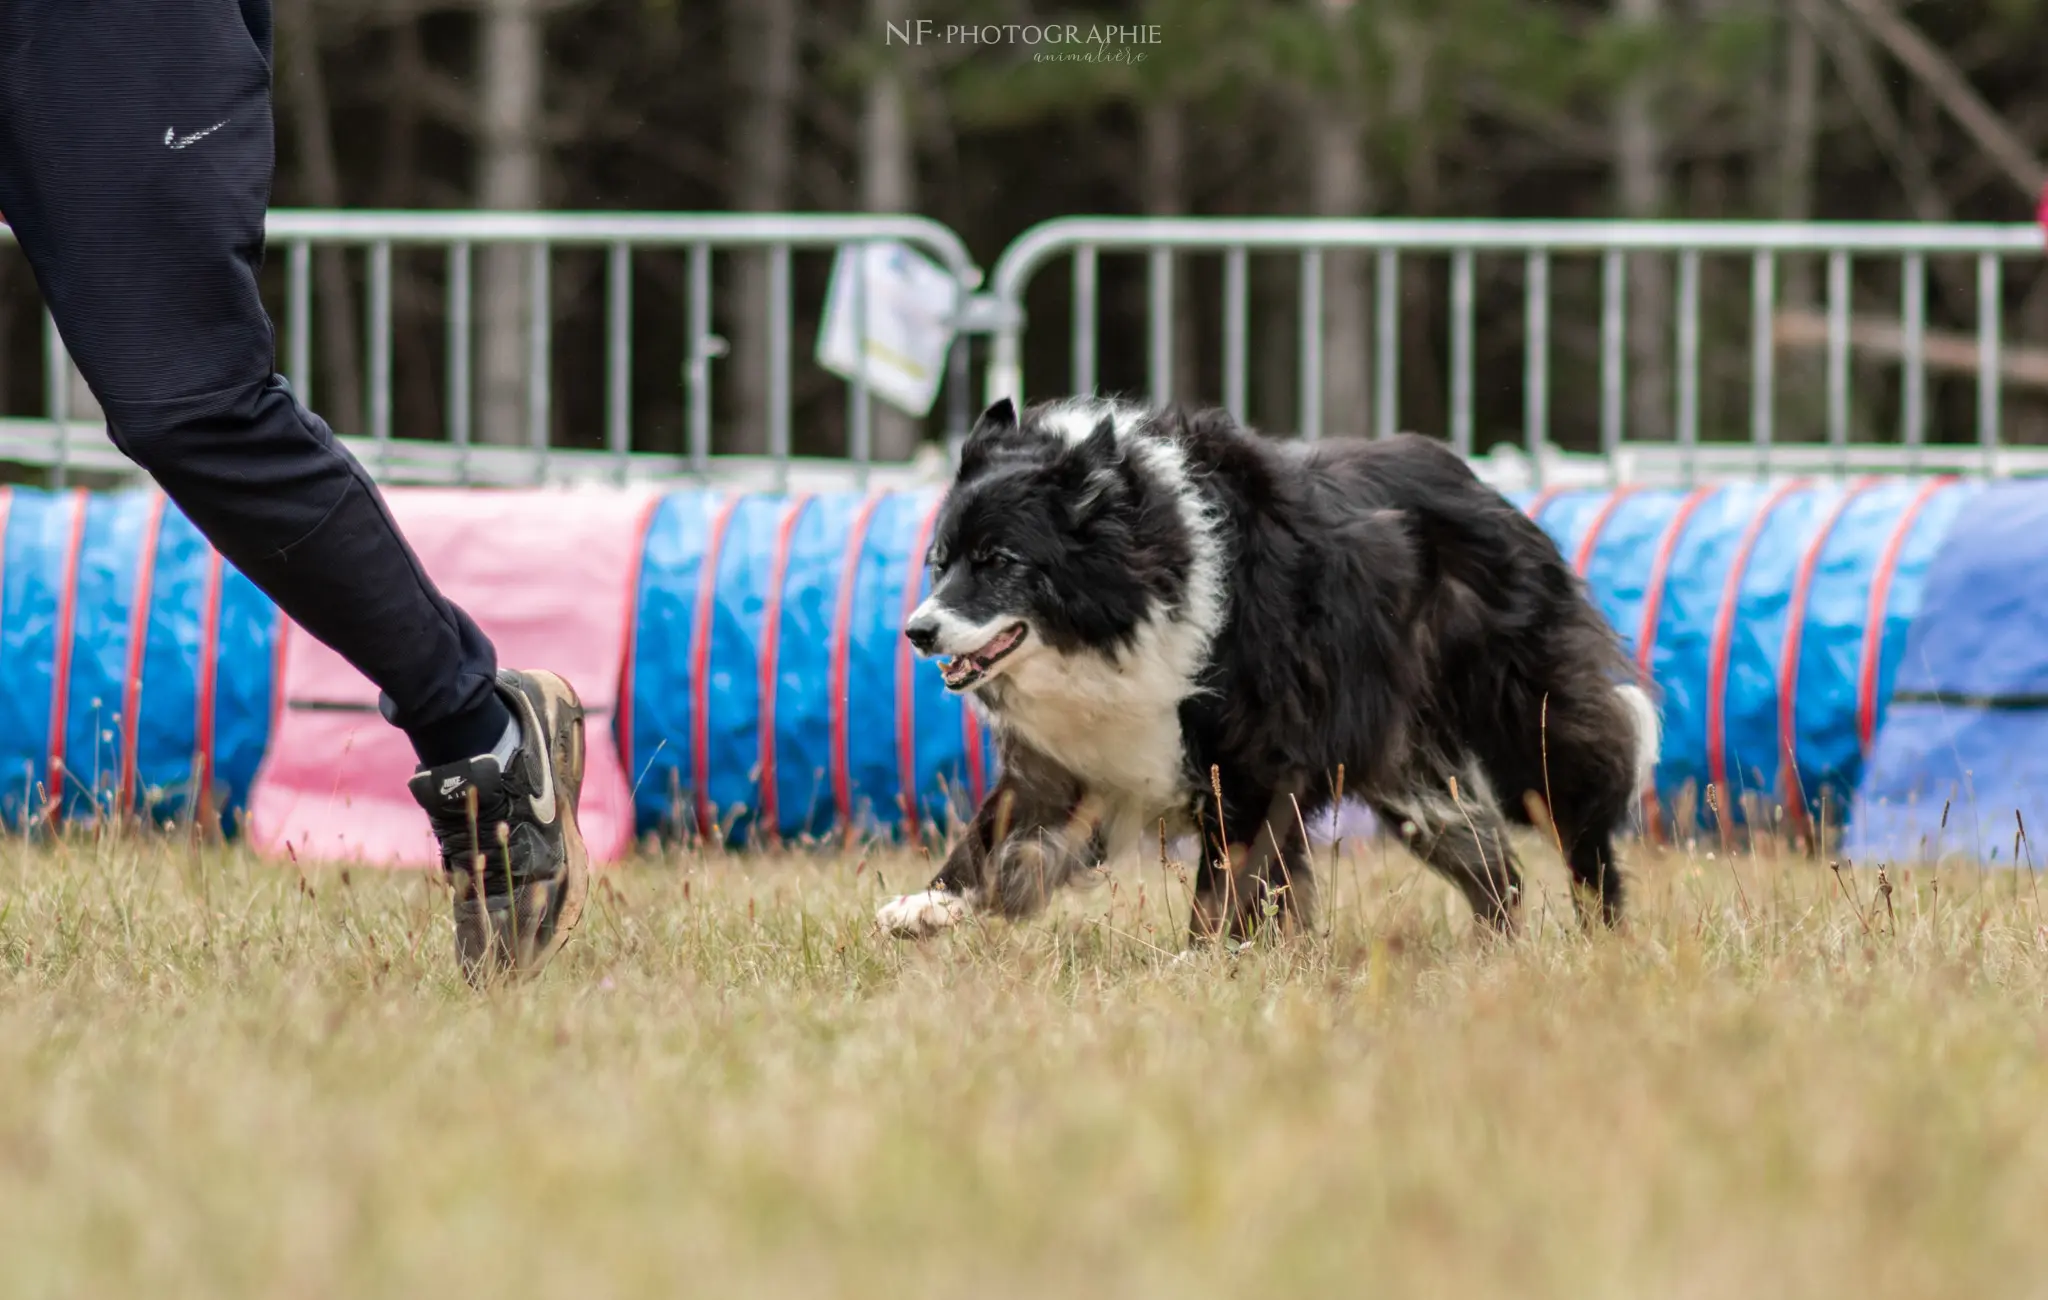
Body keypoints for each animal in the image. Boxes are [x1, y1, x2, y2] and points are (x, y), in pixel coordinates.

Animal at [884, 397, 1662, 945]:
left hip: (1526, 723)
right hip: (1404, 765)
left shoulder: (1253, 762)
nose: (918, 632)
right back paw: (1498, 952)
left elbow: (1228, 883)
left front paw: (1205, 962)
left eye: (999, 561)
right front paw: (925, 905)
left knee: (1577, 822)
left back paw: (1602, 937)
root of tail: (1484, 487)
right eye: (940, 561)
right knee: (1484, 853)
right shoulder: (1085, 755)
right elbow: (995, 826)